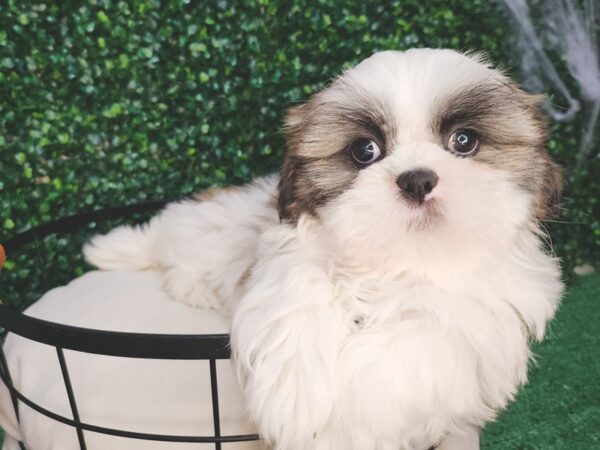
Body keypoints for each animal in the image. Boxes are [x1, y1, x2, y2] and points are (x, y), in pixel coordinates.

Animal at [84, 49, 564, 450]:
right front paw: (295, 400)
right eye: (365, 150)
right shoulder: (287, 243)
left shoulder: (478, 321)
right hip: (208, 226)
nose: (417, 179)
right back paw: (119, 248)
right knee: (168, 234)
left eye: (464, 141)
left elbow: (413, 343)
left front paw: (340, 429)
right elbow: (299, 277)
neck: (398, 264)